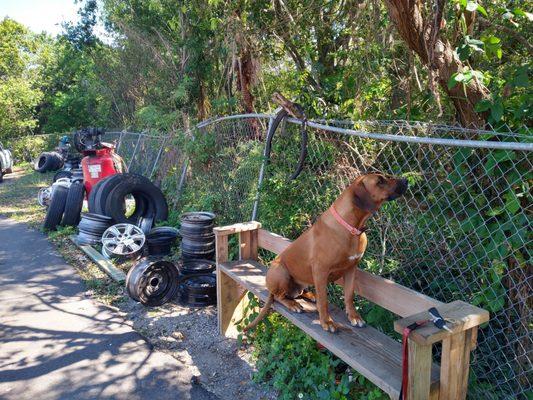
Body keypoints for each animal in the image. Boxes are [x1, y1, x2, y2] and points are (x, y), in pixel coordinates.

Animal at [245, 173, 408, 332]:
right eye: (380, 181)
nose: (405, 180)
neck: (351, 228)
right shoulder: (320, 271)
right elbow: (324, 300)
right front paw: (326, 322)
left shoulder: (351, 269)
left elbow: (349, 295)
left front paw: (354, 317)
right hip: (280, 272)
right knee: (280, 296)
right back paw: (293, 304)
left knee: (298, 293)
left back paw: (310, 295)